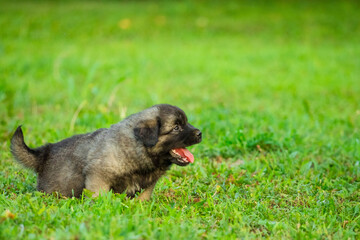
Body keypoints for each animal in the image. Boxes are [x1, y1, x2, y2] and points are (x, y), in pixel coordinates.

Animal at [10, 104, 202, 200]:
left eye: (186, 123)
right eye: (176, 128)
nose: (200, 133)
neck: (138, 147)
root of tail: (44, 153)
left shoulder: (147, 184)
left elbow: (143, 197)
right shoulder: (98, 176)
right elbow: (99, 196)